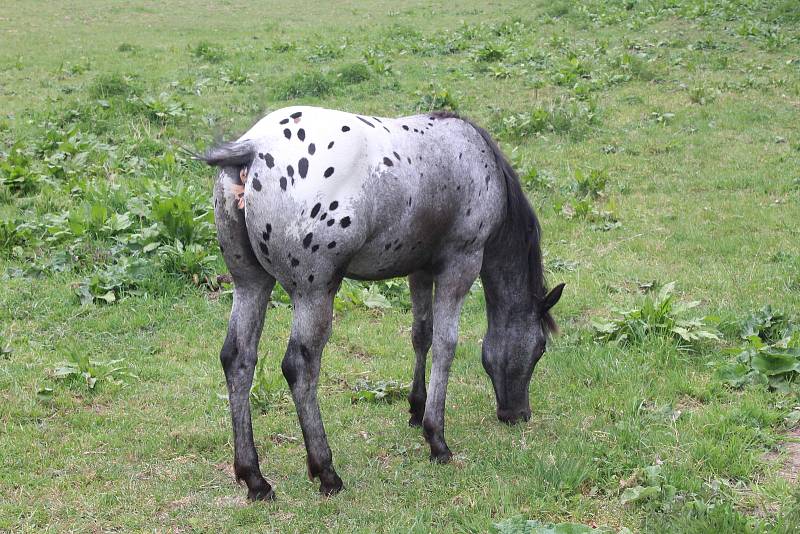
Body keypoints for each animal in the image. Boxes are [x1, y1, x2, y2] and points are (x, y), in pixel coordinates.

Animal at [202, 105, 564, 502]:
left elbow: (422, 335)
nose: (518, 414)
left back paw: (255, 478)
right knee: (299, 366)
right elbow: (446, 345)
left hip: (251, 283)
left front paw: (416, 409)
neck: (475, 156)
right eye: (540, 348)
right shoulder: (460, 264)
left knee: (238, 358)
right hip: (314, 293)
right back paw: (327, 472)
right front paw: (436, 438)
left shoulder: (420, 269)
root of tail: (253, 148)